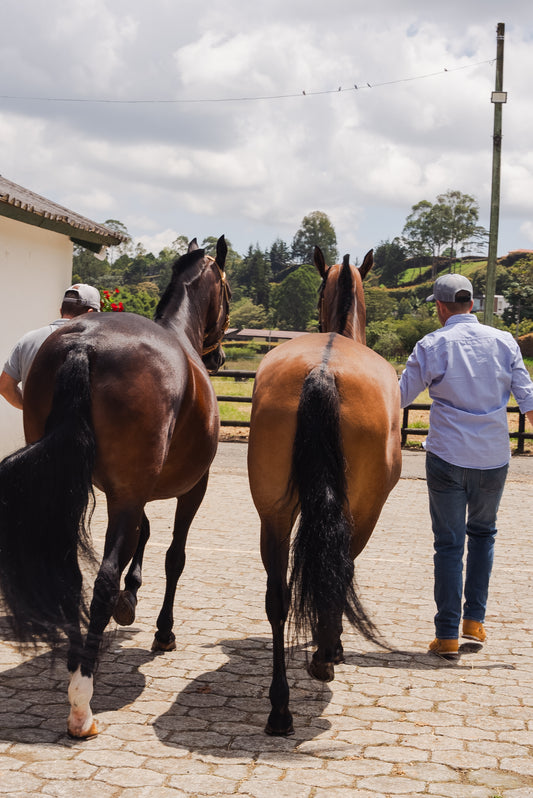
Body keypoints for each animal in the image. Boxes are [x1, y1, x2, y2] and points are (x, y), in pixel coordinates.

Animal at [0, 234, 228, 740]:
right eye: (226, 287)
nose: (219, 356)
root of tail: (86, 342)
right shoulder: (186, 489)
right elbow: (174, 556)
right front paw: (162, 629)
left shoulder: (123, 490)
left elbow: (142, 537)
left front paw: (131, 598)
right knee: (102, 578)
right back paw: (81, 703)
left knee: (72, 571)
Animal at [247, 245, 402, 736]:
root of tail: (322, 370)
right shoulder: (363, 513)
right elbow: (341, 570)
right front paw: (329, 648)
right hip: (362, 509)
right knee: (337, 571)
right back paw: (321, 662)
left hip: (273, 515)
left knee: (277, 598)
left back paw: (280, 709)